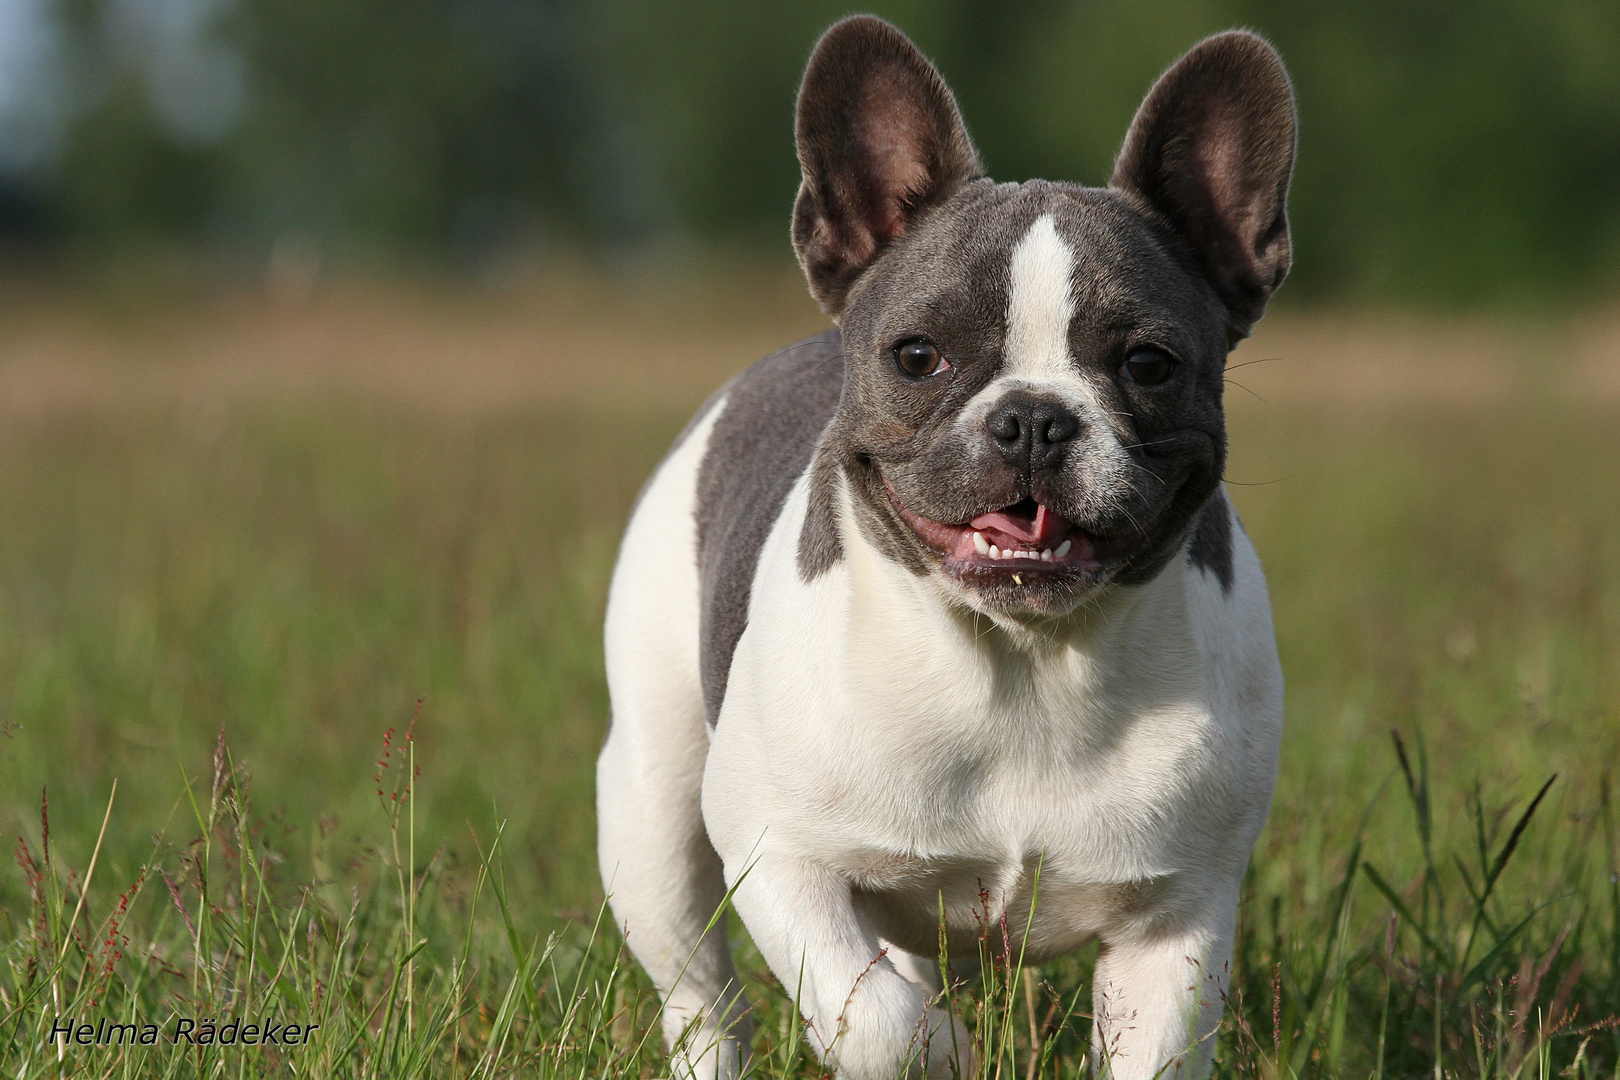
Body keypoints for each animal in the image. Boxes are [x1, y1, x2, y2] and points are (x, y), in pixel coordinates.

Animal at [596, 16, 1289, 1080]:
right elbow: (880, 1021)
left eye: (1149, 364)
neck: (1024, 665)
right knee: (705, 1002)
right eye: (919, 356)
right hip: (652, 822)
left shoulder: (1178, 917)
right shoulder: (780, 855)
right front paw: (946, 1045)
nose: (1035, 418)